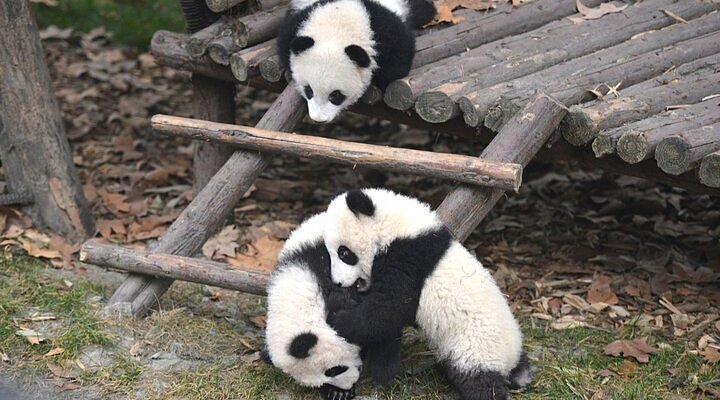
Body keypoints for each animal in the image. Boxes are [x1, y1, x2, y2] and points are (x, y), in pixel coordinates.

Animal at [277, 0, 436, 122]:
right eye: (309, 90)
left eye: (335, 95)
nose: (318, 119)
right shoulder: (302, 21)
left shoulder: (387, 34)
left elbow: (397, 63)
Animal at [321, 189, 533, 400]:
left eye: (344, 253)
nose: (338, 282)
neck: (396, 225)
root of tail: (511, 362)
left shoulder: (408, 257)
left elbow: (388, 308)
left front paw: (338, 319)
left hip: (475, 347)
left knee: (480, 383)